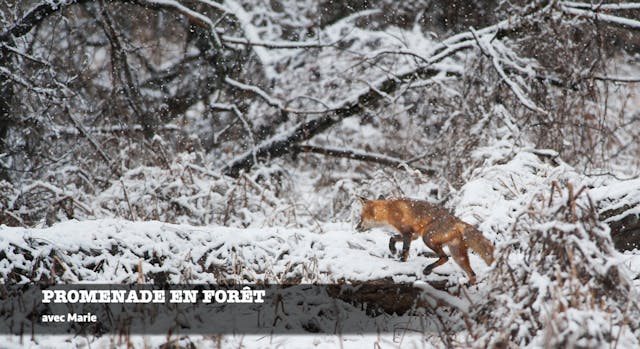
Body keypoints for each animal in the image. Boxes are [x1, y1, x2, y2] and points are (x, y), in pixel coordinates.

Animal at [356, 196, 496, 282]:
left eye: (361, 217)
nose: (356, 227)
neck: (389, 210)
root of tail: (457, 220)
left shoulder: (407, 232)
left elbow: (405, 250)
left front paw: (401, 262)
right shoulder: (413, 235)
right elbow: (392, 238)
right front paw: (393, 250)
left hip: (428, 238)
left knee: (445, 257)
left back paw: (428, 269)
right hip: (457, 255)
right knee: (472, 274)